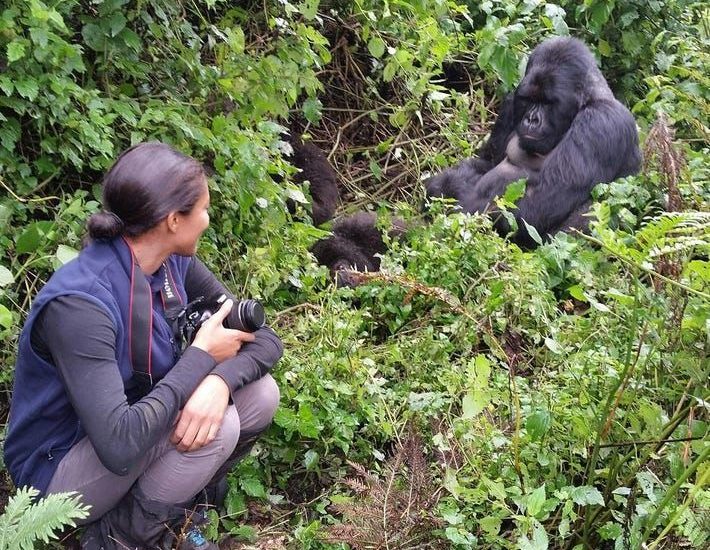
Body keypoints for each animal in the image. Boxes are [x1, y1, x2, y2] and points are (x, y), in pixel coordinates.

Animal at [428, 36, 644, 248]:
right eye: (529, 99)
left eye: (548, 103)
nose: (532, 119)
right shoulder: (511, 103)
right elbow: (487, 163)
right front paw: (444, 184)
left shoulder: (602, 122)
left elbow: (538, 204)